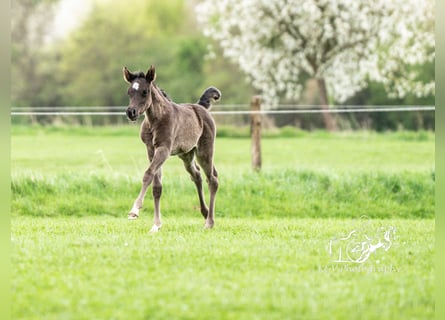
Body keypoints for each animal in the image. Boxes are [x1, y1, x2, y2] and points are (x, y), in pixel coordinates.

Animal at [122, 65, 219, 231]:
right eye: (129, 92)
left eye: (145, 91)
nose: (131, 112)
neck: (156, 120)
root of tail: (200, 108)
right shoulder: (151, 150)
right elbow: (157, 187)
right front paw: (156, 225)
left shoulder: (164, 149)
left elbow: (148, 174)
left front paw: (134, 211)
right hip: (186, 154)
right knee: (197, 176)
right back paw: (205, 213)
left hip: (204, 151)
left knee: (212, 180)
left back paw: (209, 222)